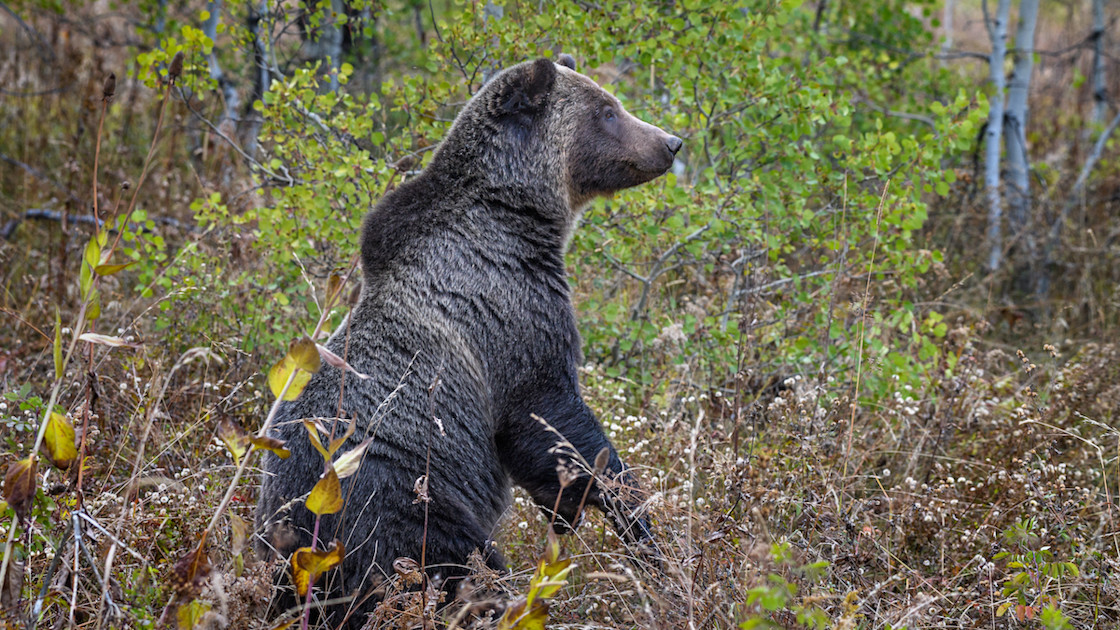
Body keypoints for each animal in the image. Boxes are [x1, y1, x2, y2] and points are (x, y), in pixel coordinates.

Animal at [255, 54, 682, 628]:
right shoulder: (511, 319)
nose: (670, 142)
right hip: (403, 506)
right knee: (454, 567)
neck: (519, 218)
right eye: (607, 111)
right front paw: (632, 520)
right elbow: (552, 421)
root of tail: (296, 549)